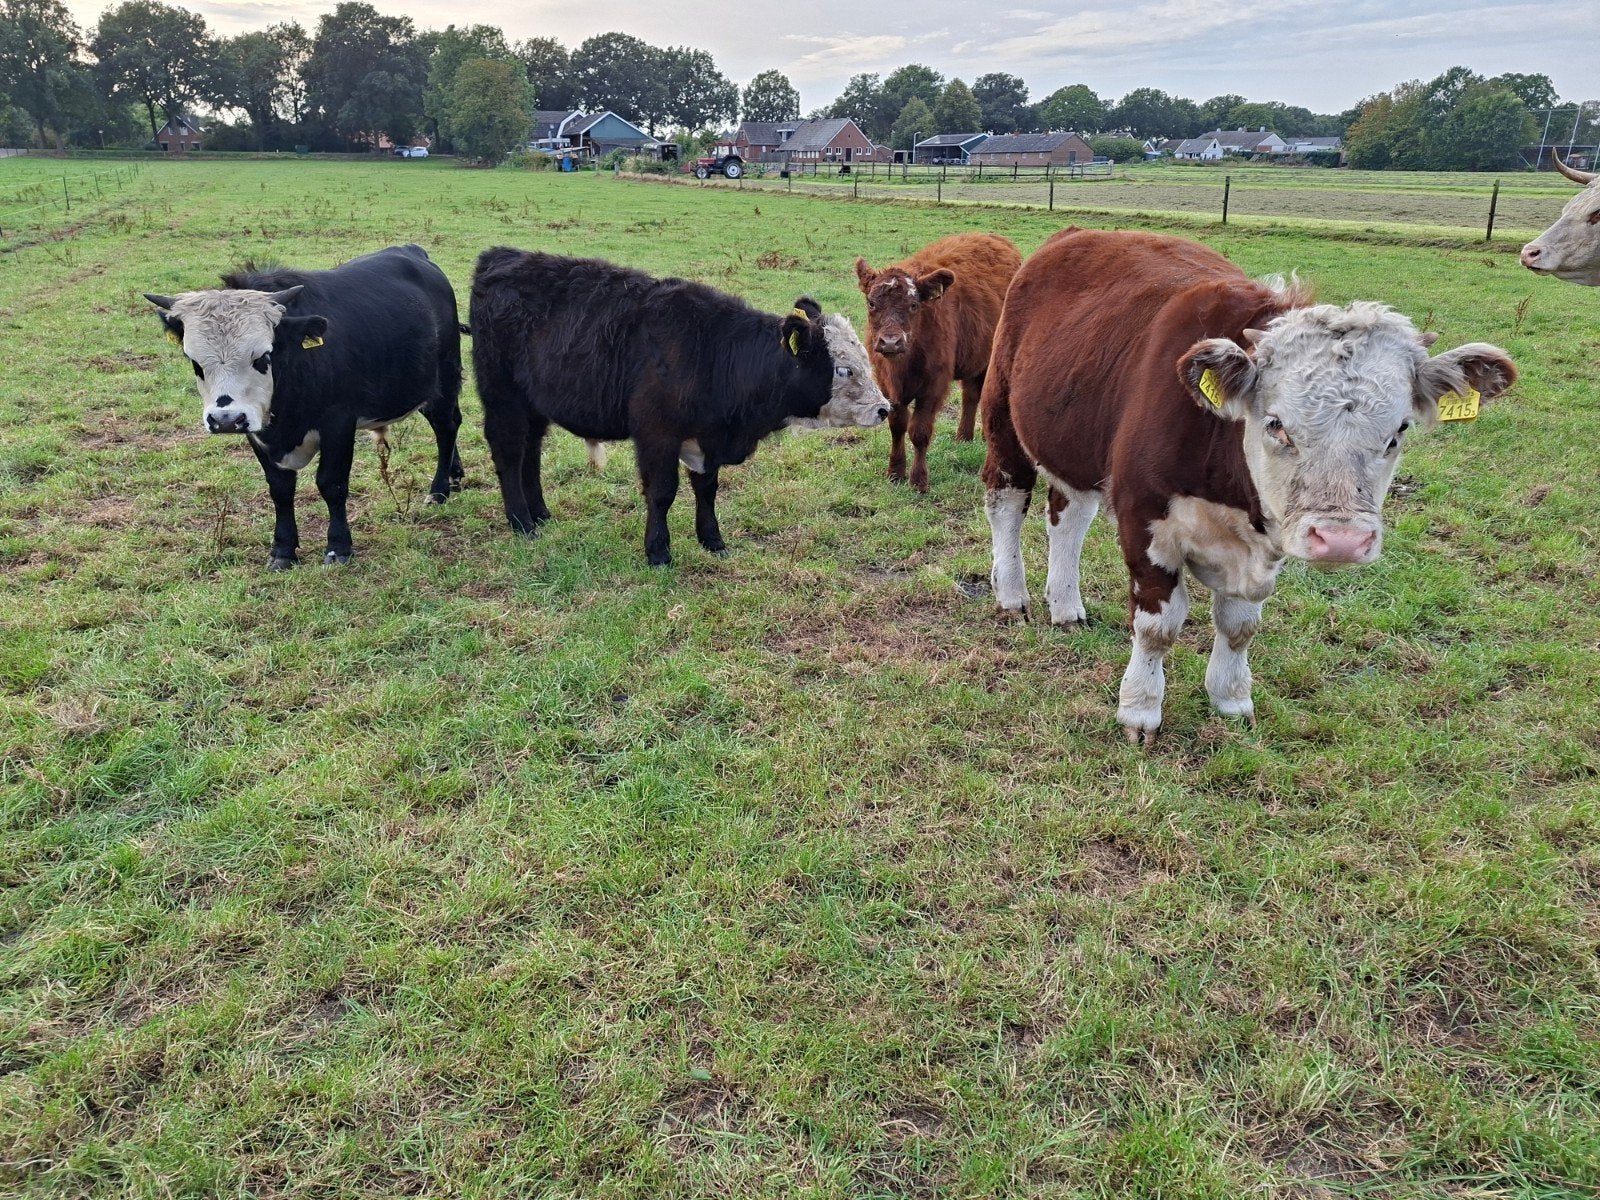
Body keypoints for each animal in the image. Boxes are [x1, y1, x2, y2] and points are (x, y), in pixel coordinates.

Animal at [145, 244, 463, 570]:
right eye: (195, 362)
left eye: (263, 356)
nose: (225, 420)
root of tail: (412, 251)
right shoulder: (257, 431)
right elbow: (280, 489)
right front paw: (283, 550)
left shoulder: (338, 423)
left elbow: (331, 484)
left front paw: (338, 547)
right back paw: (455, 474)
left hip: (444, 380)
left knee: (447, 427)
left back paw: (439, 489)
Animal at [469, 247, 890, 567]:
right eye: (843, 369)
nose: (884, 409)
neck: (715, 353)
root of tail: (502, 256)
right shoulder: (657, 434)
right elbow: (662, 493)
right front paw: (658, 552)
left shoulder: (706, 439)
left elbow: (707, 489)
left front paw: (713, 541)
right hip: (502, 399)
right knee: (509, 454)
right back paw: (522, 522)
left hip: (533, 406)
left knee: (531, 453)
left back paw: (540, 513)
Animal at [854, 232, 1022, 492]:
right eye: (871, 303)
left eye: (914, 305)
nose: (891, 342)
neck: (903, 366)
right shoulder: (886, 384)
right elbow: (897, 425)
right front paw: (895, 472)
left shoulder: (933, 385)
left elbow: (919, 432)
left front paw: (918, 480)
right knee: (970, 395)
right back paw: (964, 437)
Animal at [981, 228, 1517, 743]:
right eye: (1276, 423)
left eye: (1399, 431)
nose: (1341, 539)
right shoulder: (1143, 516)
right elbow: (1156, 628)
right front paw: (1140, 708)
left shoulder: (1265, 542)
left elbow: (1239, 626)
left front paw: (1231, 699)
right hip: (1003, 415)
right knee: (1007, 500)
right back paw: (1012, 595)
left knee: (1067, 516)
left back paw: (1066, 606)